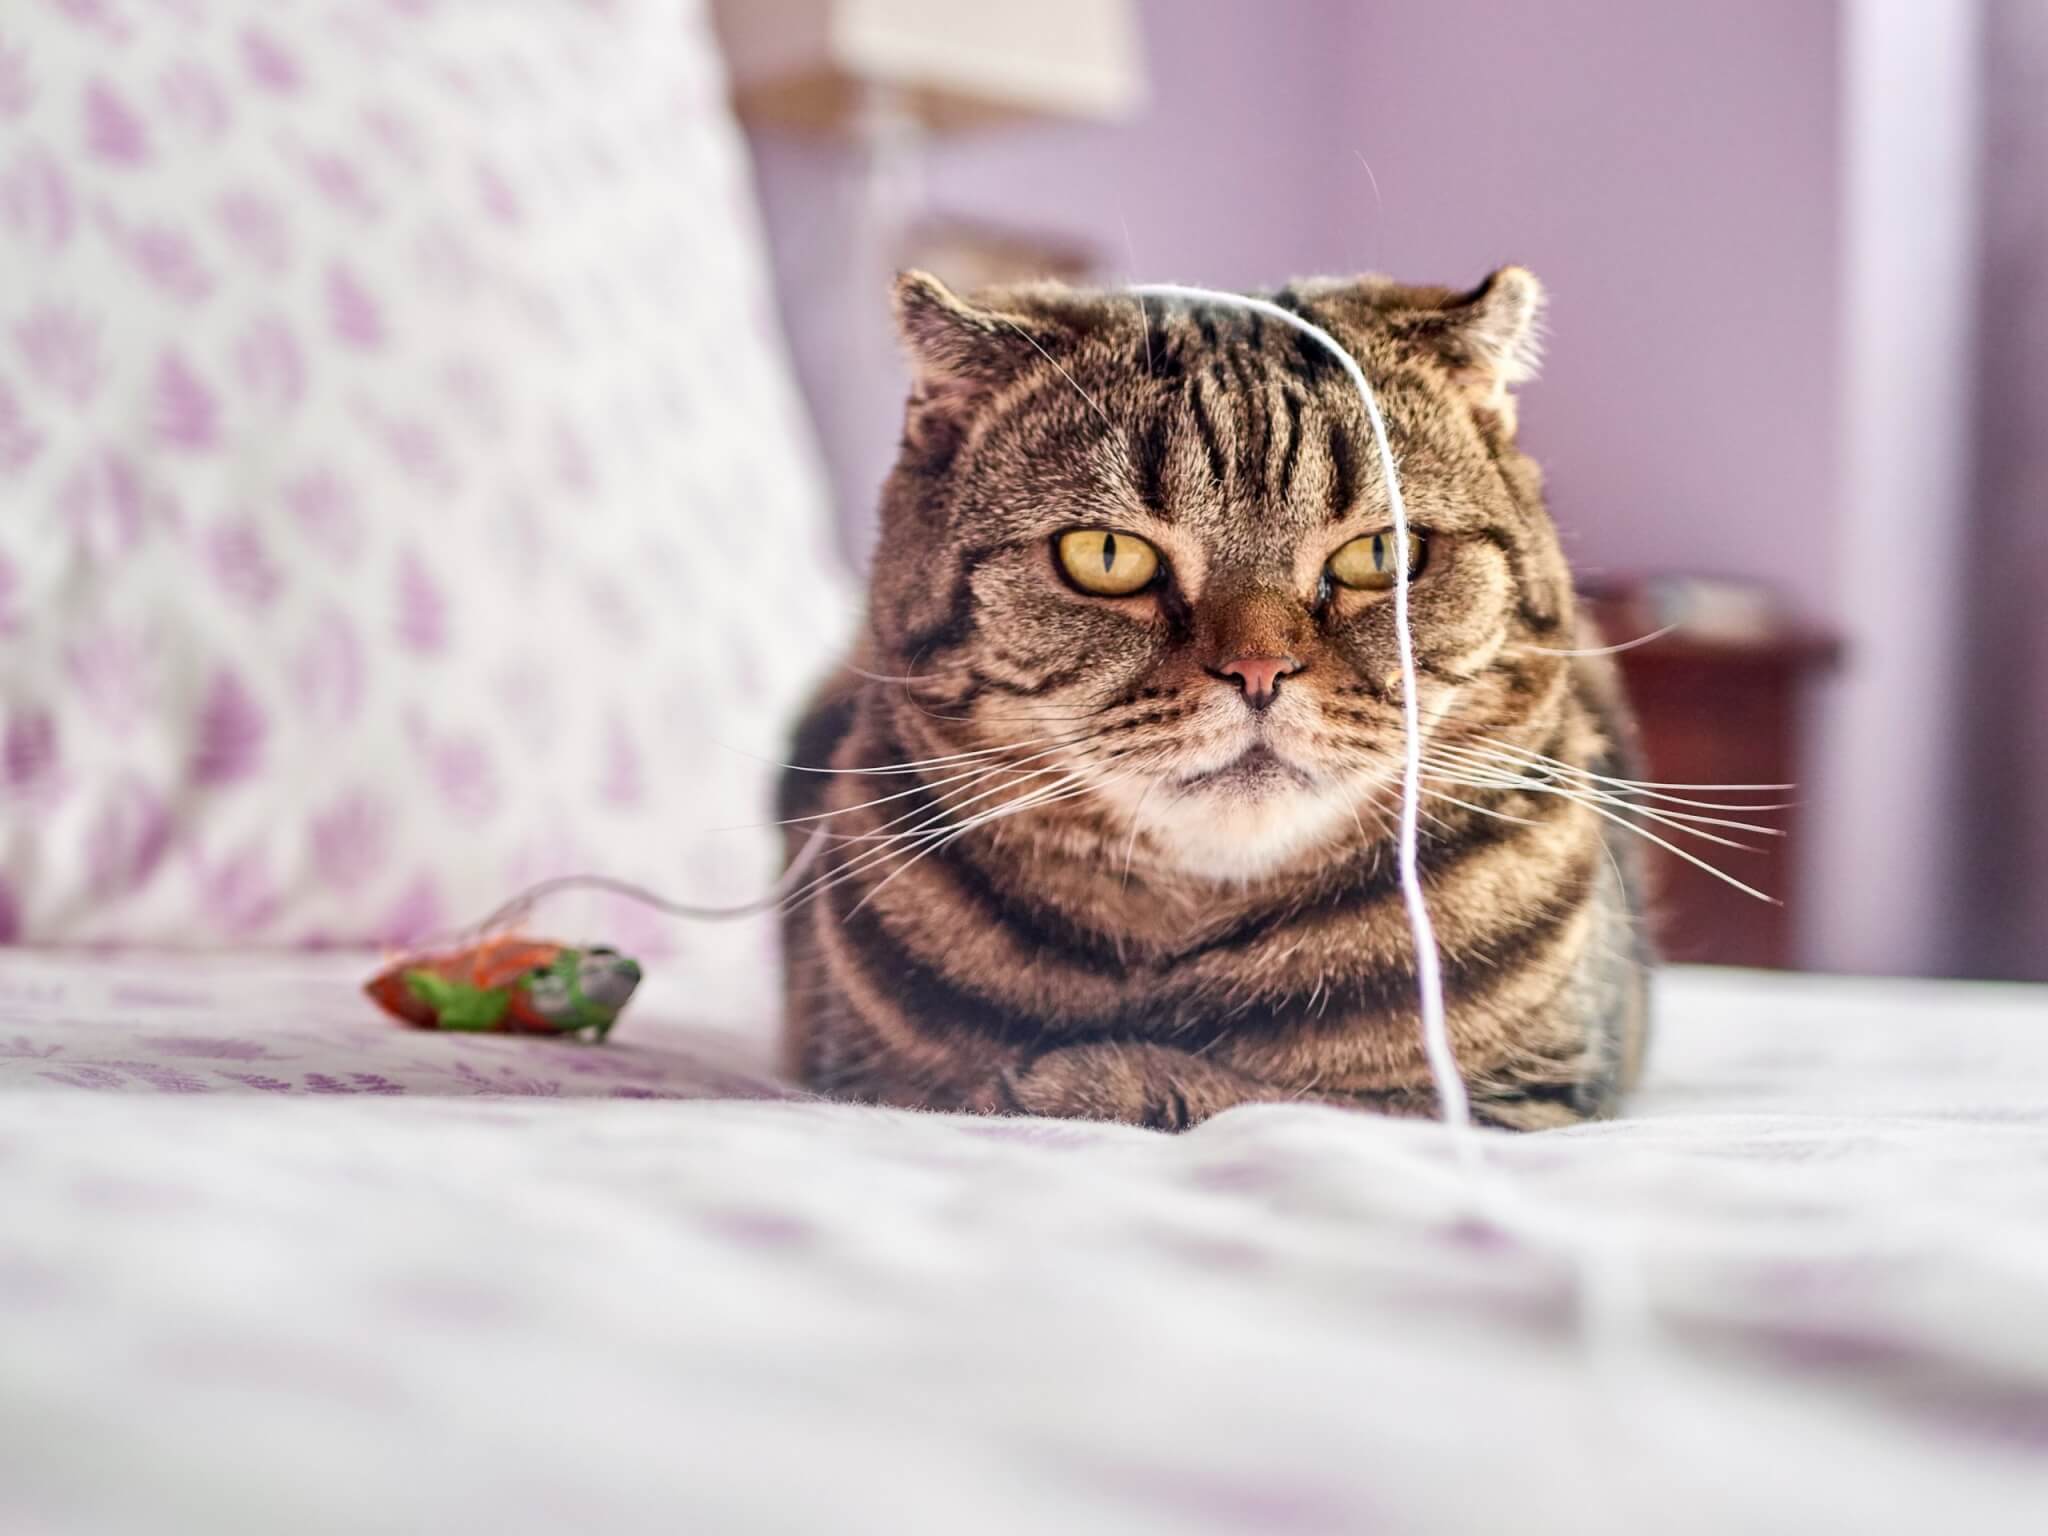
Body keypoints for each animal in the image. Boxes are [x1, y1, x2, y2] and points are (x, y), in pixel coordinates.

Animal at [774, 268, 1654, 1130]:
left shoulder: (1526, 1103)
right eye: (1105, 555)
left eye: (1381, 553)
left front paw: (1088, 1080)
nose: (1259, 669)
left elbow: (1298, 1099)